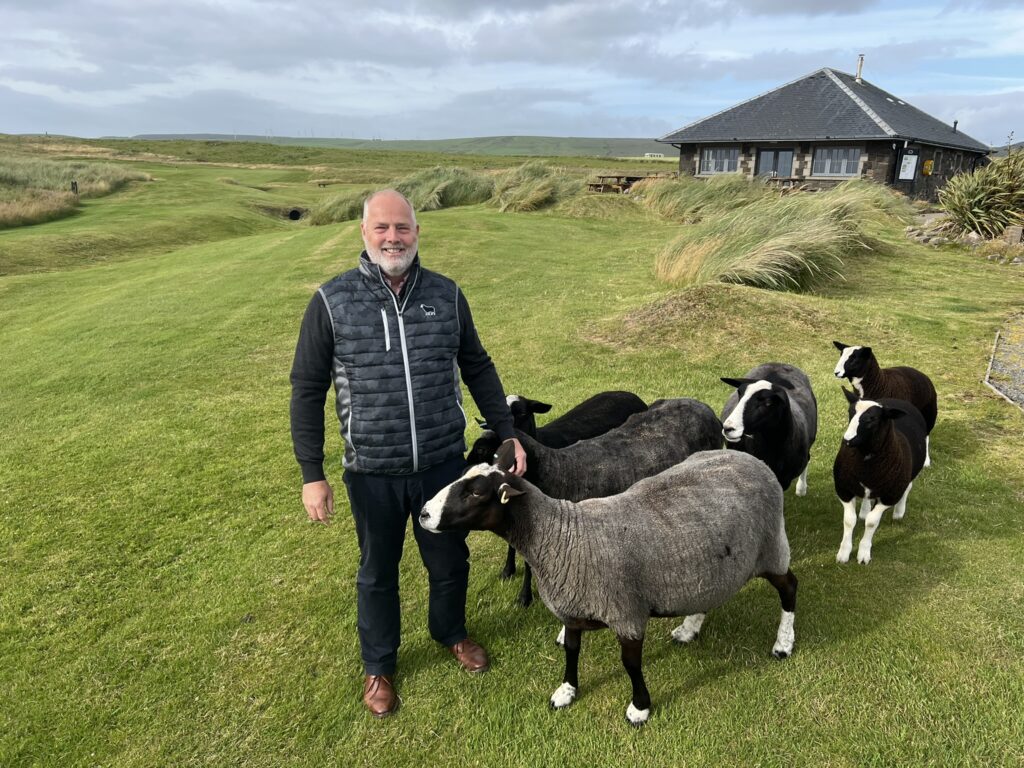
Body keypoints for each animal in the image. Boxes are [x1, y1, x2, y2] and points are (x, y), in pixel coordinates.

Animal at [419, 444, 794, 729]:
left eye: (476, 492)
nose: (423, 514)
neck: (562, 535)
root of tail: (751, 459)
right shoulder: (571, 609)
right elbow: (571, 650)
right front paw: (566, 691)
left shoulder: (626, 613)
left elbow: (630, 665)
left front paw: (639, 708)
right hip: (710, 564)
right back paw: (689, 628)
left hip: (771, 548)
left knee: (790, 587)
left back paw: (783, 643)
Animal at [724, 364, 819, 495]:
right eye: (740, 395)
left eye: (768, 403)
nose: (728, 428)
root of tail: (778, 363)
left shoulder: (783, 481)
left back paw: (801, 489)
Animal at [831, 391, 929, 565]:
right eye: (850, 412)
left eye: (872, 419)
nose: (847, 440)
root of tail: (897, 400)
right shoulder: (844, 489)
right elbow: (849, 520)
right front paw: (843, 553)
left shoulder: (890, 495)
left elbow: (871, 522)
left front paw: (863, 553)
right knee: (866, 498)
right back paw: (864, 509)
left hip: (907, 477)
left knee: (907, 488)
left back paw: (898, 512)